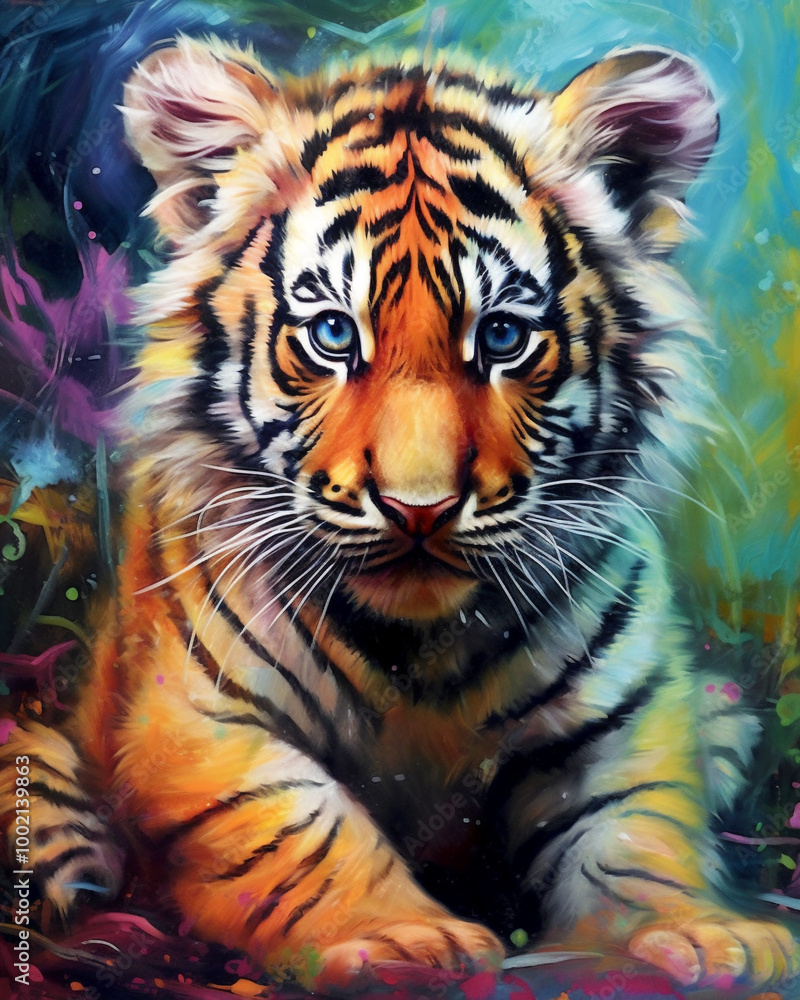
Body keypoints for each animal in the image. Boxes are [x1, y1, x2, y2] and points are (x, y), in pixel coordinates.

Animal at [2, 34, 798, 993]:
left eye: (502, 337)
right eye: (333, 336)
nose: (420, 509)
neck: (421, 647)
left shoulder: (624, 722)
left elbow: (640, 833)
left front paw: (703, 934)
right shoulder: (199, 722)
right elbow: (301, 829)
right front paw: (401, 939)